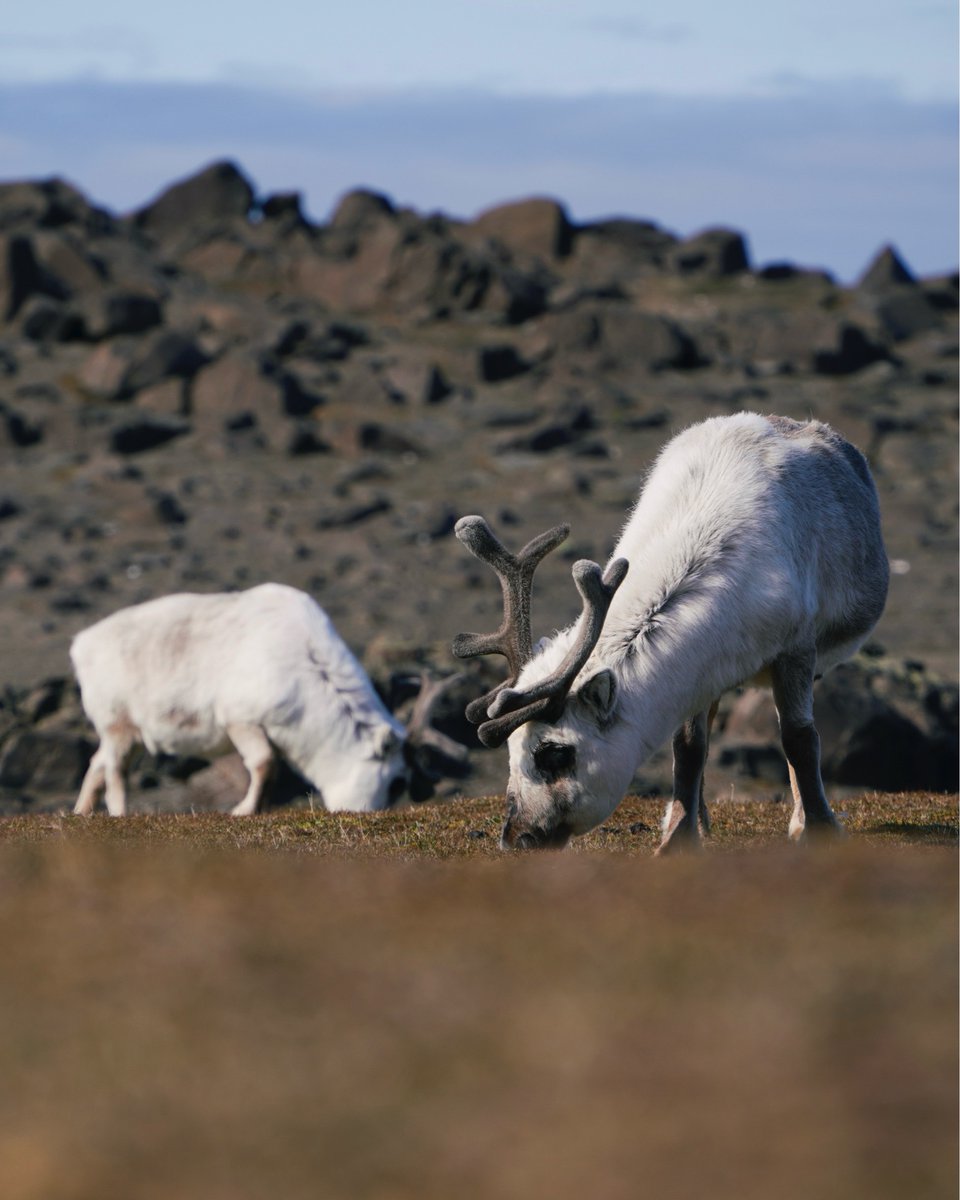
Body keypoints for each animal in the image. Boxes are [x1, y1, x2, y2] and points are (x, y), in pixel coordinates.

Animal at [71, 582, 465, 816]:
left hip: (130, 735)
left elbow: (269, 767)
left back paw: (82, 813)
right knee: (115, 770)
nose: (368, 812)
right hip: (118, 725)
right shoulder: (240, 719)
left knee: (97, 762)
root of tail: (81, 645)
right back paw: (119, 814)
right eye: (397, 780)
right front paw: (243, 810)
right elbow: (264, 762)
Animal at [453, 413, 889, 853]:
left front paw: (820, 828)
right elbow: (689, 747)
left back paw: (797, 820)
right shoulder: (704, 667)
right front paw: (678, 836)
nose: (516, 838)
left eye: (556, 753)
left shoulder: (796, 650)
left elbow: (800, 739)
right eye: (511, 753)